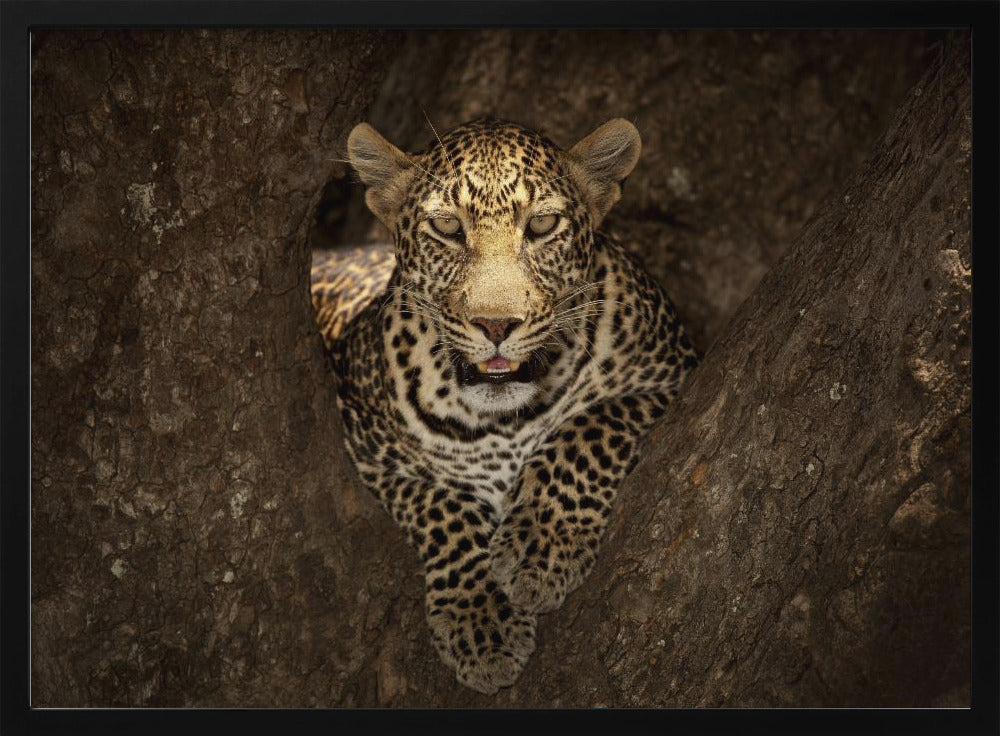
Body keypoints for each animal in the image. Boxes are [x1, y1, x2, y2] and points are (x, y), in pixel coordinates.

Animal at [311, 117, 698, 694]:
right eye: (448, 227)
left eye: (542, 224)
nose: (496, 325)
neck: (503, 421)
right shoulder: (368, 449)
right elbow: (441, 506)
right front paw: (481, 621)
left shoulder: (672, 374)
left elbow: (588, 428)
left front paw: (541, 546)